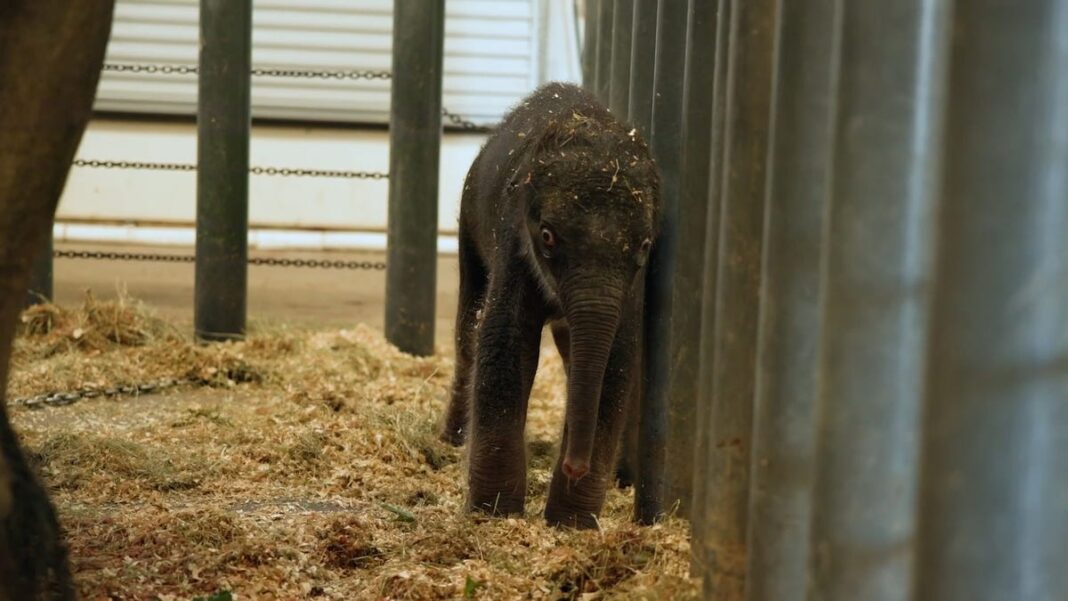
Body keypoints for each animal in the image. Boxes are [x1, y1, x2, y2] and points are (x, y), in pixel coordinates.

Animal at [440, 82, 657, 529]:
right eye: (547, 236)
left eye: (645, 245)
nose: (575, 466)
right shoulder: (513, 241)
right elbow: (505, 341)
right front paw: (495, 513)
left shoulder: (631, 288)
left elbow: (615, 360)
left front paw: (571, 523)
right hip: (468, 224)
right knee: (468, 332)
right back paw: (452, 439)